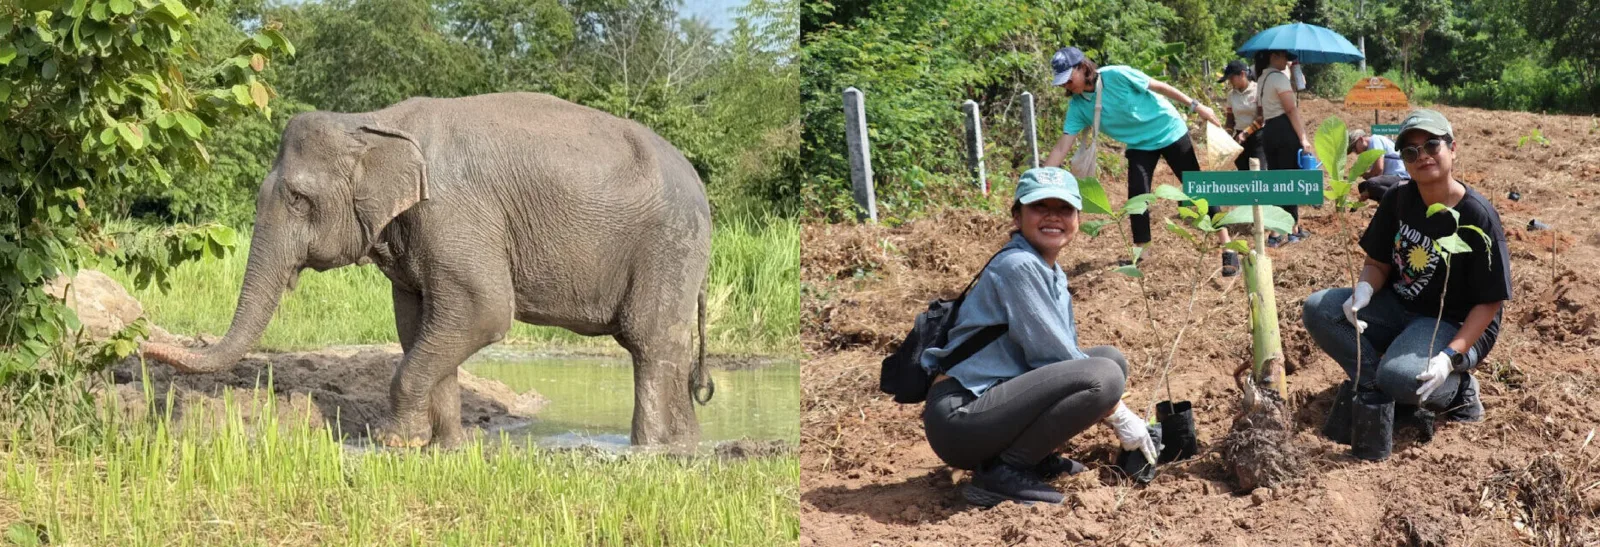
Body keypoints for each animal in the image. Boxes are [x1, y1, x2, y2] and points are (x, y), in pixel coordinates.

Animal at [141, 92, 714, 448]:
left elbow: (484, 311)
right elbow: (418, 321)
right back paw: (682, 446)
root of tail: (698, 183)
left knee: (649, 341)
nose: (144, 346)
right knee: (661, 346)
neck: (375, 122)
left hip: (669, 246)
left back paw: (656, 451)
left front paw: (394, 442)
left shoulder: (455, 214)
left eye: (300, 200)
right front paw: (444, 447)